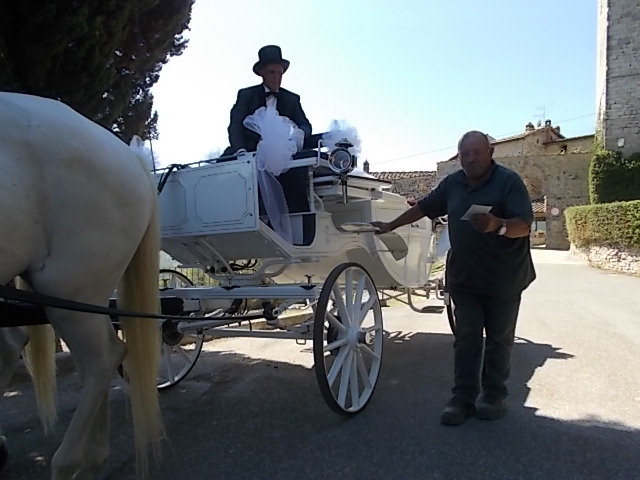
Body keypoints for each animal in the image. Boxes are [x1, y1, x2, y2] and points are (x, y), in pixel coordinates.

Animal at [0, 92, 163, 479]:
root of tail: (132, 158)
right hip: (78, 295)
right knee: (98, 360)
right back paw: (91, 460)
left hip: (69, 288)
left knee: (102, 360)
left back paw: (69, 462)